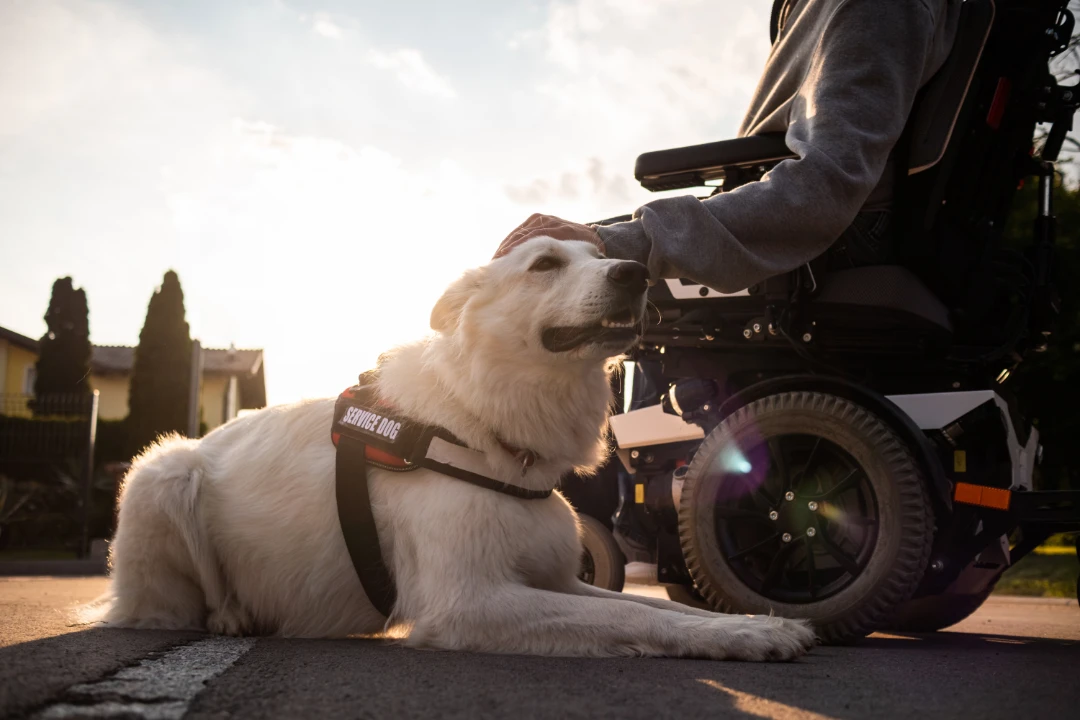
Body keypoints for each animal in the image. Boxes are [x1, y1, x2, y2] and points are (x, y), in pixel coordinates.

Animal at [101, 236, 812, 660]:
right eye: (545, 264)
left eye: (598, 252)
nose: (637, 272)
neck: (482, 422)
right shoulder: (468, 600)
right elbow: (637, 620)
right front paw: (747, 631)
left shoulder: (557, 579)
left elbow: (635, 607)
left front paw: (743, 625)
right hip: (163, 473)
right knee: (168, 607)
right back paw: (227, 616)